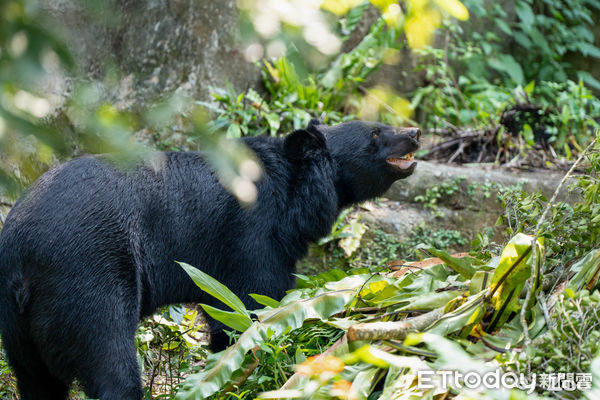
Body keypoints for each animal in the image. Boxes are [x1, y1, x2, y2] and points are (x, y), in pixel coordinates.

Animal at [0, 120, 418, 398]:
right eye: (376, 133)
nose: (415, 132)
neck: (292, 190)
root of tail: (21, 255)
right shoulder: (252, 235)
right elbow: (250, 304)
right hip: (89, 276)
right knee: (109, 359)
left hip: (19, 327)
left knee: (37, 380)